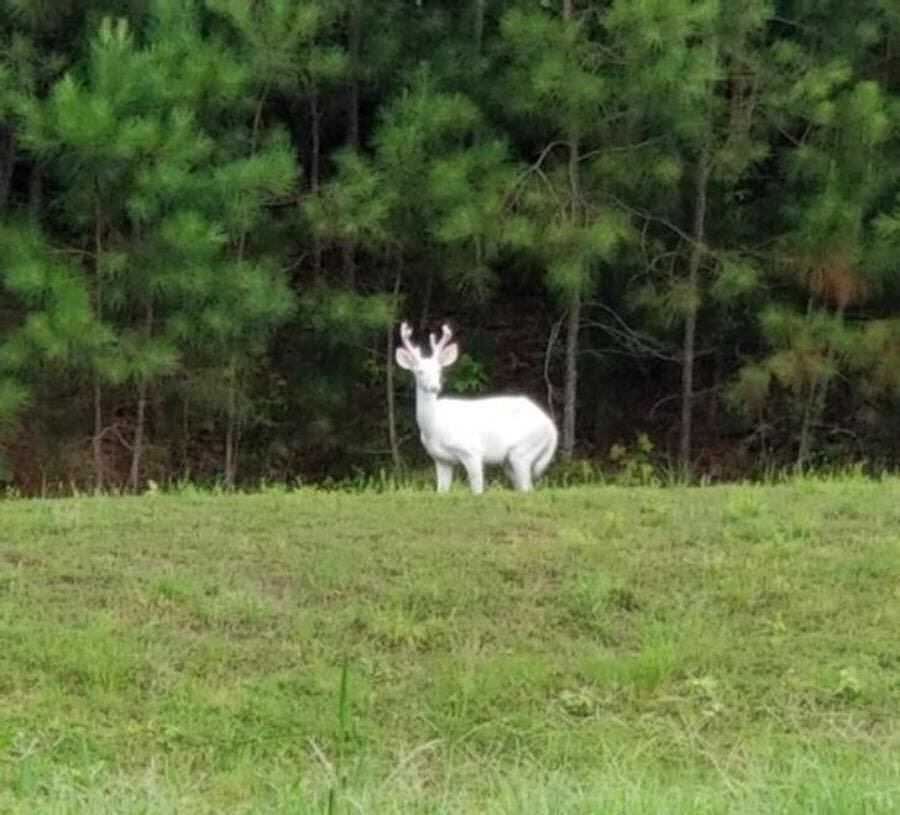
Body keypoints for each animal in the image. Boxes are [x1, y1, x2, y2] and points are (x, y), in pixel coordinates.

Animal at [394, 322, 556, 494]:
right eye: (420, 371)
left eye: (439, 370)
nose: (434, 387)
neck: (435, 428)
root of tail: (552, 428)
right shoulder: (440, 459)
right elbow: (442, 490)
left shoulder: (472, 451)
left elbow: (477, 489)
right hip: (510, 460)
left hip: (523, 450)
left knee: (527, 487)